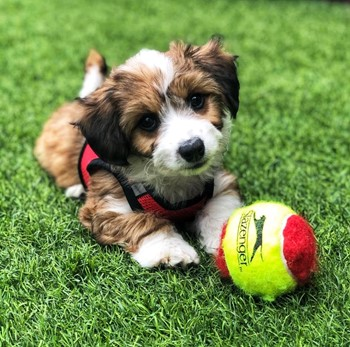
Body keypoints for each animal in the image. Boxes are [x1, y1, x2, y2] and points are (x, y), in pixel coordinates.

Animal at [36, 38, 243, 268]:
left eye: (196, 100)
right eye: (147, 121)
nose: (192, 148)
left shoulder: (222, 185)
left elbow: (220, 211)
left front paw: (229, 241)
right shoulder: (109, 206)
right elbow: (144, 221)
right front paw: (173, 249)